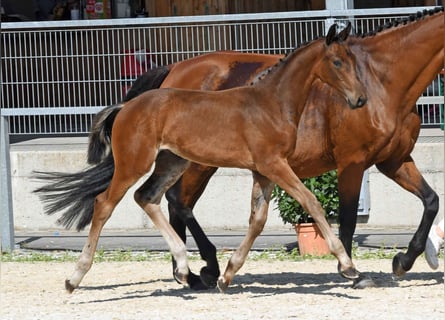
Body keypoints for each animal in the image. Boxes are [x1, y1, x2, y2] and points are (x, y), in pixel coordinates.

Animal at [35, 23, 368, 292]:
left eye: (354, 61)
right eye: (337, 61)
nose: (360, 99)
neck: (271, 103)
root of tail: (125, 107)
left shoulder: (262, 171)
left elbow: (257, 219)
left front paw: (227, 275)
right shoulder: (273, 164)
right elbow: (311, 202)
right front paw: (348, 266)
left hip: (172, 162)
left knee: (148, 197)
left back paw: (185, 268)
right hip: (135, 164)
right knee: (105, 203)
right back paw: (74, 278)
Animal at [119, 6, 442, 290]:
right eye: (339, 64)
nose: (358, 99)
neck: (382, 81)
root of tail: (174, 68)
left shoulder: (394, 161)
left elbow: (431, 201)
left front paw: (403, 261)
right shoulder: (352, 162)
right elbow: (348, 218)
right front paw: (352, 271)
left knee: (174, 202)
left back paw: (192, 274)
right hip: (200, 163)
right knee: (177, 201)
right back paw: (203, 269)